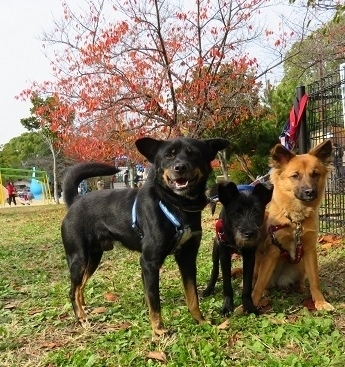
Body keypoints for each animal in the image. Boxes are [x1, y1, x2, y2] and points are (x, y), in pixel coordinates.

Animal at [60, 136, 230, 336]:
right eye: (168, 155)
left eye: (194, 153)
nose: (180, 167)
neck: (176, 204)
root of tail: (75, 201)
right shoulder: (149, 262)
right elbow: (154, 302)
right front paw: (159, 331)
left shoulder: (187, 258)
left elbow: (192, 296)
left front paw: (200, 321)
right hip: (78, 258)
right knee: (72, 290)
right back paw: (81, 317)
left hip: (93, 257)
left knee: (79, 287)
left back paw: (84, 309)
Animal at [202, 184, 272, 316]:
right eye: (236, 213)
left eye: (257, 212)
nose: (249, 233)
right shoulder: (224, 256)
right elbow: (227, 284)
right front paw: (227, 306)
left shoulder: (250, 257)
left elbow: (247, 285)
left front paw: (249, 306)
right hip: (216, 249)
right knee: (215, 270)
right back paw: (208, 289)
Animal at [251, 139, 334, 312]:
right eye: (295, 176)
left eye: (315, 174)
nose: (310, 192)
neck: (295, 220)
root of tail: (278, 281)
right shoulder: (272, 250)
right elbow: (259, 285)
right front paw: (249, 304)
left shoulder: (309, 250)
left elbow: (315, 280)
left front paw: (320, 302)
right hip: (258, 263)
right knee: (258, 282)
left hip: (300, 266)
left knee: (301, 281)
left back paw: (301, 288)